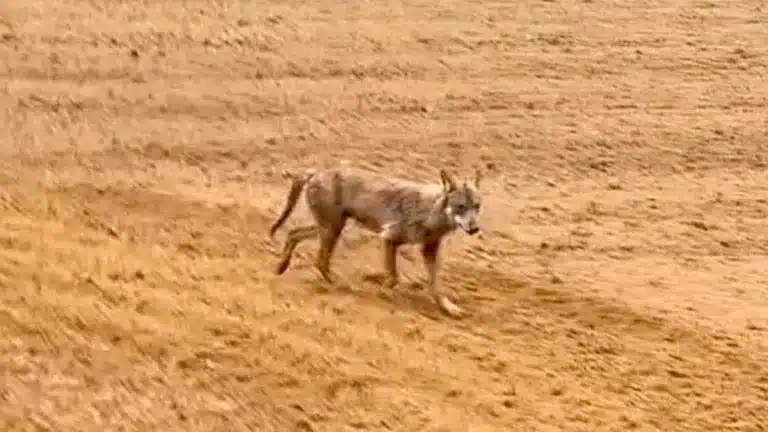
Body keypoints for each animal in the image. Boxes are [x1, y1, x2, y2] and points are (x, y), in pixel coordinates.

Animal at [270, 165, 484, 318]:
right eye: (460, 207)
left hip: (329, 228)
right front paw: (377, 284)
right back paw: (344, 286)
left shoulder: (429, 251)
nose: (474, 228)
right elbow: (394, 277)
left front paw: (448, 308)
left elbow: (436, 286)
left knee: (294, 234)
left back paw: (281, 267)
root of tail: (317, 171)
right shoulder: (389, 238)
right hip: (331, 230)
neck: (432, 211)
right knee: (320, 261)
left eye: (476, 206)